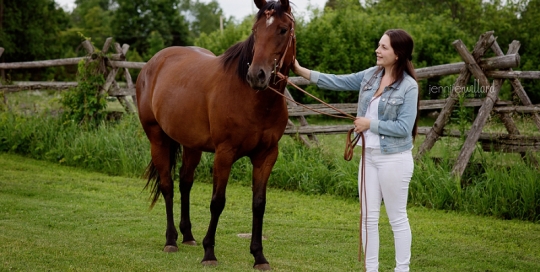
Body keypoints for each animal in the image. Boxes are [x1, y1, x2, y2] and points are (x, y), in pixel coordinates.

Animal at [135, 0, 296, 270]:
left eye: (283, 30)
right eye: (255, 30)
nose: (257, 75)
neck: (252, 99)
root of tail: (152, 63)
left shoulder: (266, 156)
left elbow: (259, 204)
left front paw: (259, 256)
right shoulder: (224, 153)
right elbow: (217, 202)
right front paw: (209, 252)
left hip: (191, 145)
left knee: (185, 182)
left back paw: (188, 236)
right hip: (157, 138)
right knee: (168, 185)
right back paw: (171, 240)